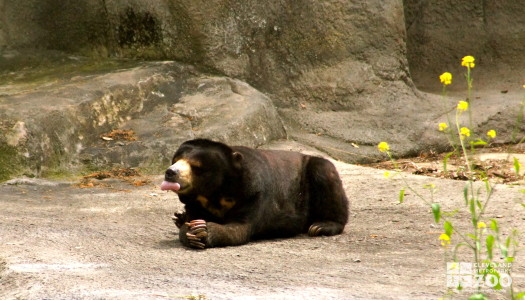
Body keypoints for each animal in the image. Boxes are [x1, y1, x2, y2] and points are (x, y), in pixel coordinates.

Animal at [160, 139, 348, 248]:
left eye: (196, 166)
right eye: (176, 160)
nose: (170, 172)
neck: (214, 192)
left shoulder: (253, 193)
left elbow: (241, 227)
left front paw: (203, 229)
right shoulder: (194, 200)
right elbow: (191, 220)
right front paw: (190, 228)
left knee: (324, 173)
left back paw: (321, 225)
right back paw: (179, 217)